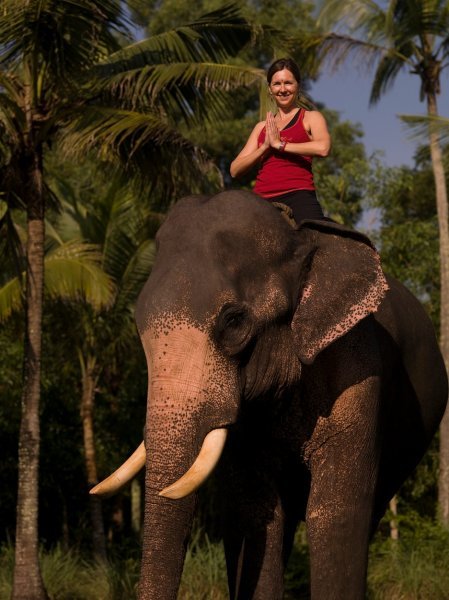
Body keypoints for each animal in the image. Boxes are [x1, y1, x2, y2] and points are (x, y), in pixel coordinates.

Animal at [92, 191, 448, 600]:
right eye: (136, 322)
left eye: (234, 322)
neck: (300, 238)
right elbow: (261, 511)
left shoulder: (357, 367)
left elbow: (335, 513)